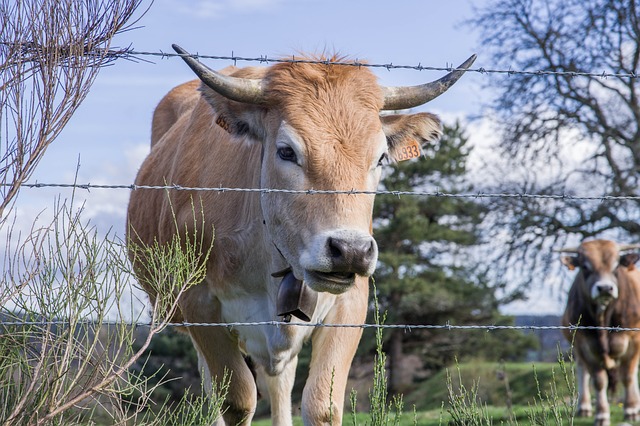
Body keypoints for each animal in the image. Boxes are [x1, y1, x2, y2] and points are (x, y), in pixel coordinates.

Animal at [126, 44, 476, 426]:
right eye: (286, 151)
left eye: (381, 157)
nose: (350, 250)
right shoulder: (198, 304)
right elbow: (236, 400)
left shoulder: (350, 303)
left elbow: (322, 404)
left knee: (279, 383)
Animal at [556, 240, 640, 426]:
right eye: (585, 266)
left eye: (616, 266)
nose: (605, 288)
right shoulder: (585, 344)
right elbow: (598, 380)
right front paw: (601, 415)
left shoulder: (633, 340)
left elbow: (628, 376)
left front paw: (631, 410)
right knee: (582, 371)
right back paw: (584, 407)